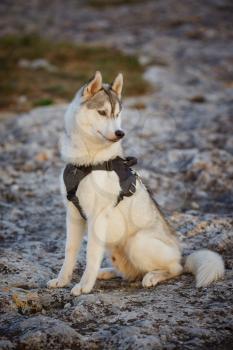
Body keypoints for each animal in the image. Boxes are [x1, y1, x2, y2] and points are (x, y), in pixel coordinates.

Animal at [46, 71, 224, 296]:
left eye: (117, 114)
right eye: (102, 112)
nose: (120, 133)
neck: (86, 163)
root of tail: (181, 256)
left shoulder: (98, 218)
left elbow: (91, 255)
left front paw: (84, 286)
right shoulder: (73, 215)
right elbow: (69, 252)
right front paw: (62, 280)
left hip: (137, 243)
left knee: (174, 269)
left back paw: (153, 276)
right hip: (114, 248)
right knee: (130, 273)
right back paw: (107, 272)